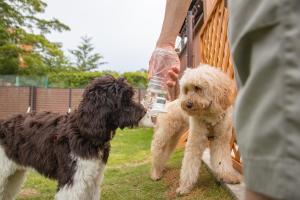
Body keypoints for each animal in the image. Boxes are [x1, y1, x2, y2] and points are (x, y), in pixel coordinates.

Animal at [0, 75, 145, 200]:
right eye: (123, 99)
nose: (144, 111)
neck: (83, 131)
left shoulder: (93, 180)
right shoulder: (72, 180)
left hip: (14, 174)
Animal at [150, 64, 241, 195]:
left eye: (198, 88)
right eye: (186, 90)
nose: (187, 104)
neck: (210, 116)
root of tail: (167, 105)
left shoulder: (221, 140)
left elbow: (222, 161)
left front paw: (228, 176)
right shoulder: (195, 142)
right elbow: (189, 165)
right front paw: (184, 187)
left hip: (174, 137)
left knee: (165, 152)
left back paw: (161, 168)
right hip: (163, 135)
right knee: (157, 152)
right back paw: (155, 173)